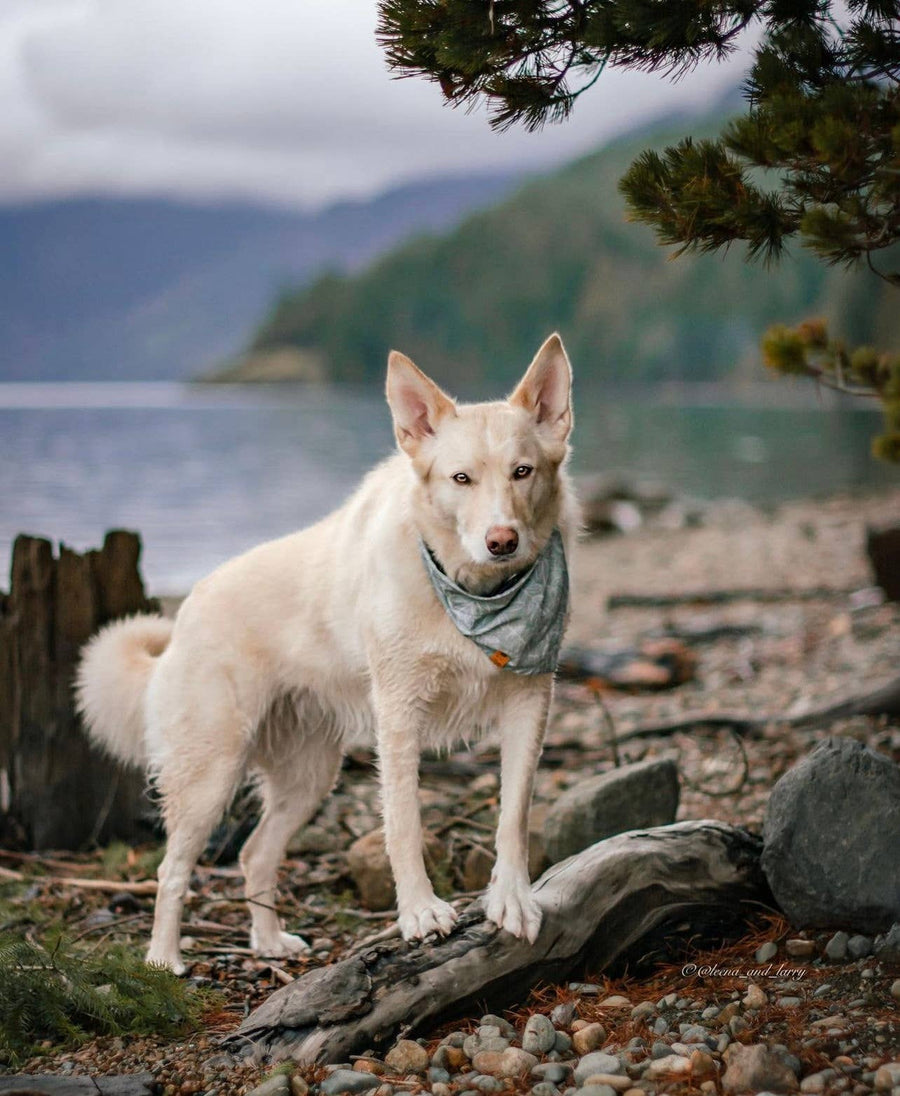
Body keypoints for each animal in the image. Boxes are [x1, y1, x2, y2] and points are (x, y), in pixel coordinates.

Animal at [80, 328, 578, 973]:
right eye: (460, 479)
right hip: (211, 773)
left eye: (522, 471)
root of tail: (188, 612)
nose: (502, 542)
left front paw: (511, 899)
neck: (471, 594)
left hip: (308, 777)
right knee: (170, 870)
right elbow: (404, 823)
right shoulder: (399, 714)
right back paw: (164, 961)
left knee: (254, 855)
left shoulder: (528, 703)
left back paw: (268, 943)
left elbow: (513, 815)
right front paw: (419, 914)